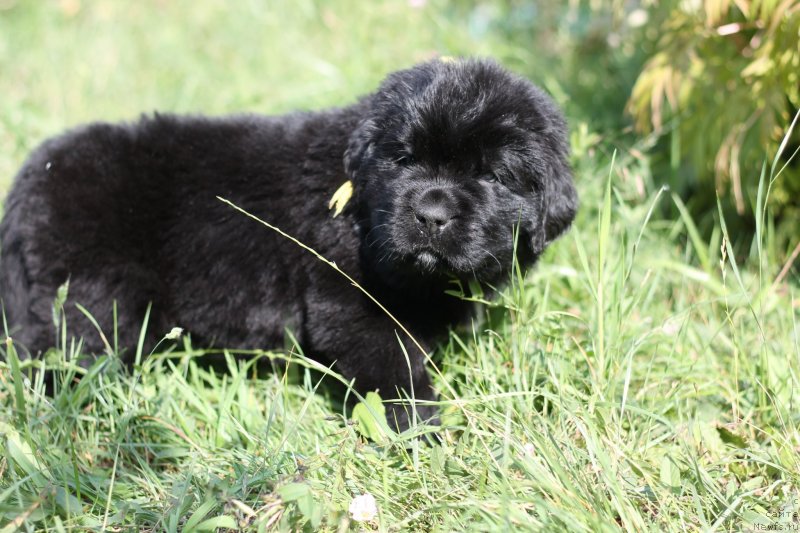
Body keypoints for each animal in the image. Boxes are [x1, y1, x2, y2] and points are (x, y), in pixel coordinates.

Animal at [0, 58, 576, 428]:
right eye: (404, 159)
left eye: (494, 176)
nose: (430, 214)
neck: (357, 206)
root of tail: (30, 176)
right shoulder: (349, 299)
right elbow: (392, 366)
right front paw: (418, 430)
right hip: (93, 299)